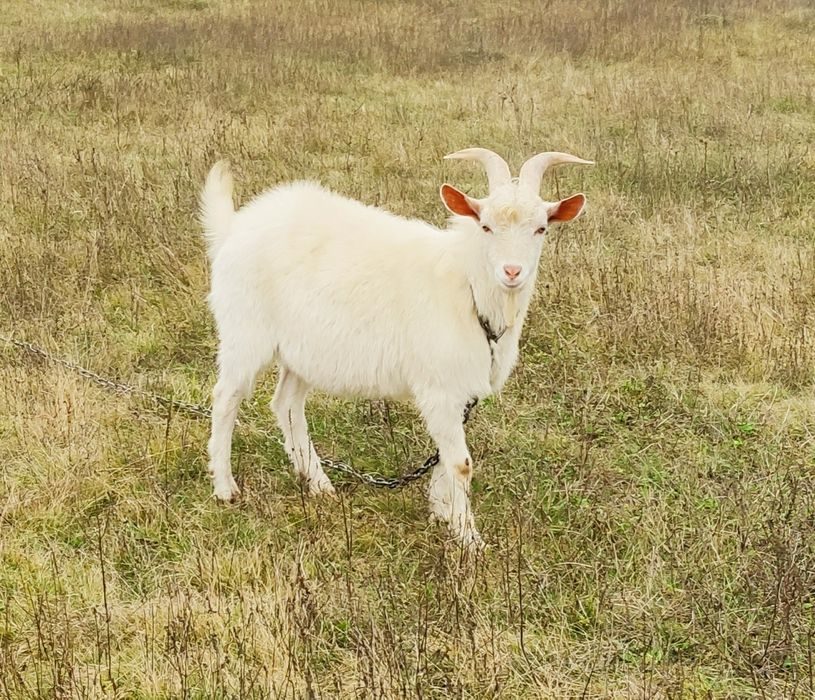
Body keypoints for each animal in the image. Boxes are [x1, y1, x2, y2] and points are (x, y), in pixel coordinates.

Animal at [199, 148, 592, 548]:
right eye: (485, 226)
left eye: (541, 228)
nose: (512, 272)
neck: (468, 286)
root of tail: (234, 227)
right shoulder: (439, 388)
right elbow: (461, 464)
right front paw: (469, 540)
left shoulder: (459, 391)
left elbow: (445, 458)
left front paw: (442, 512)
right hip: (245, 332)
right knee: (226, 398)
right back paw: (225, 487)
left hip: (303, 351)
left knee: (287, 405)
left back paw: (319, 484)